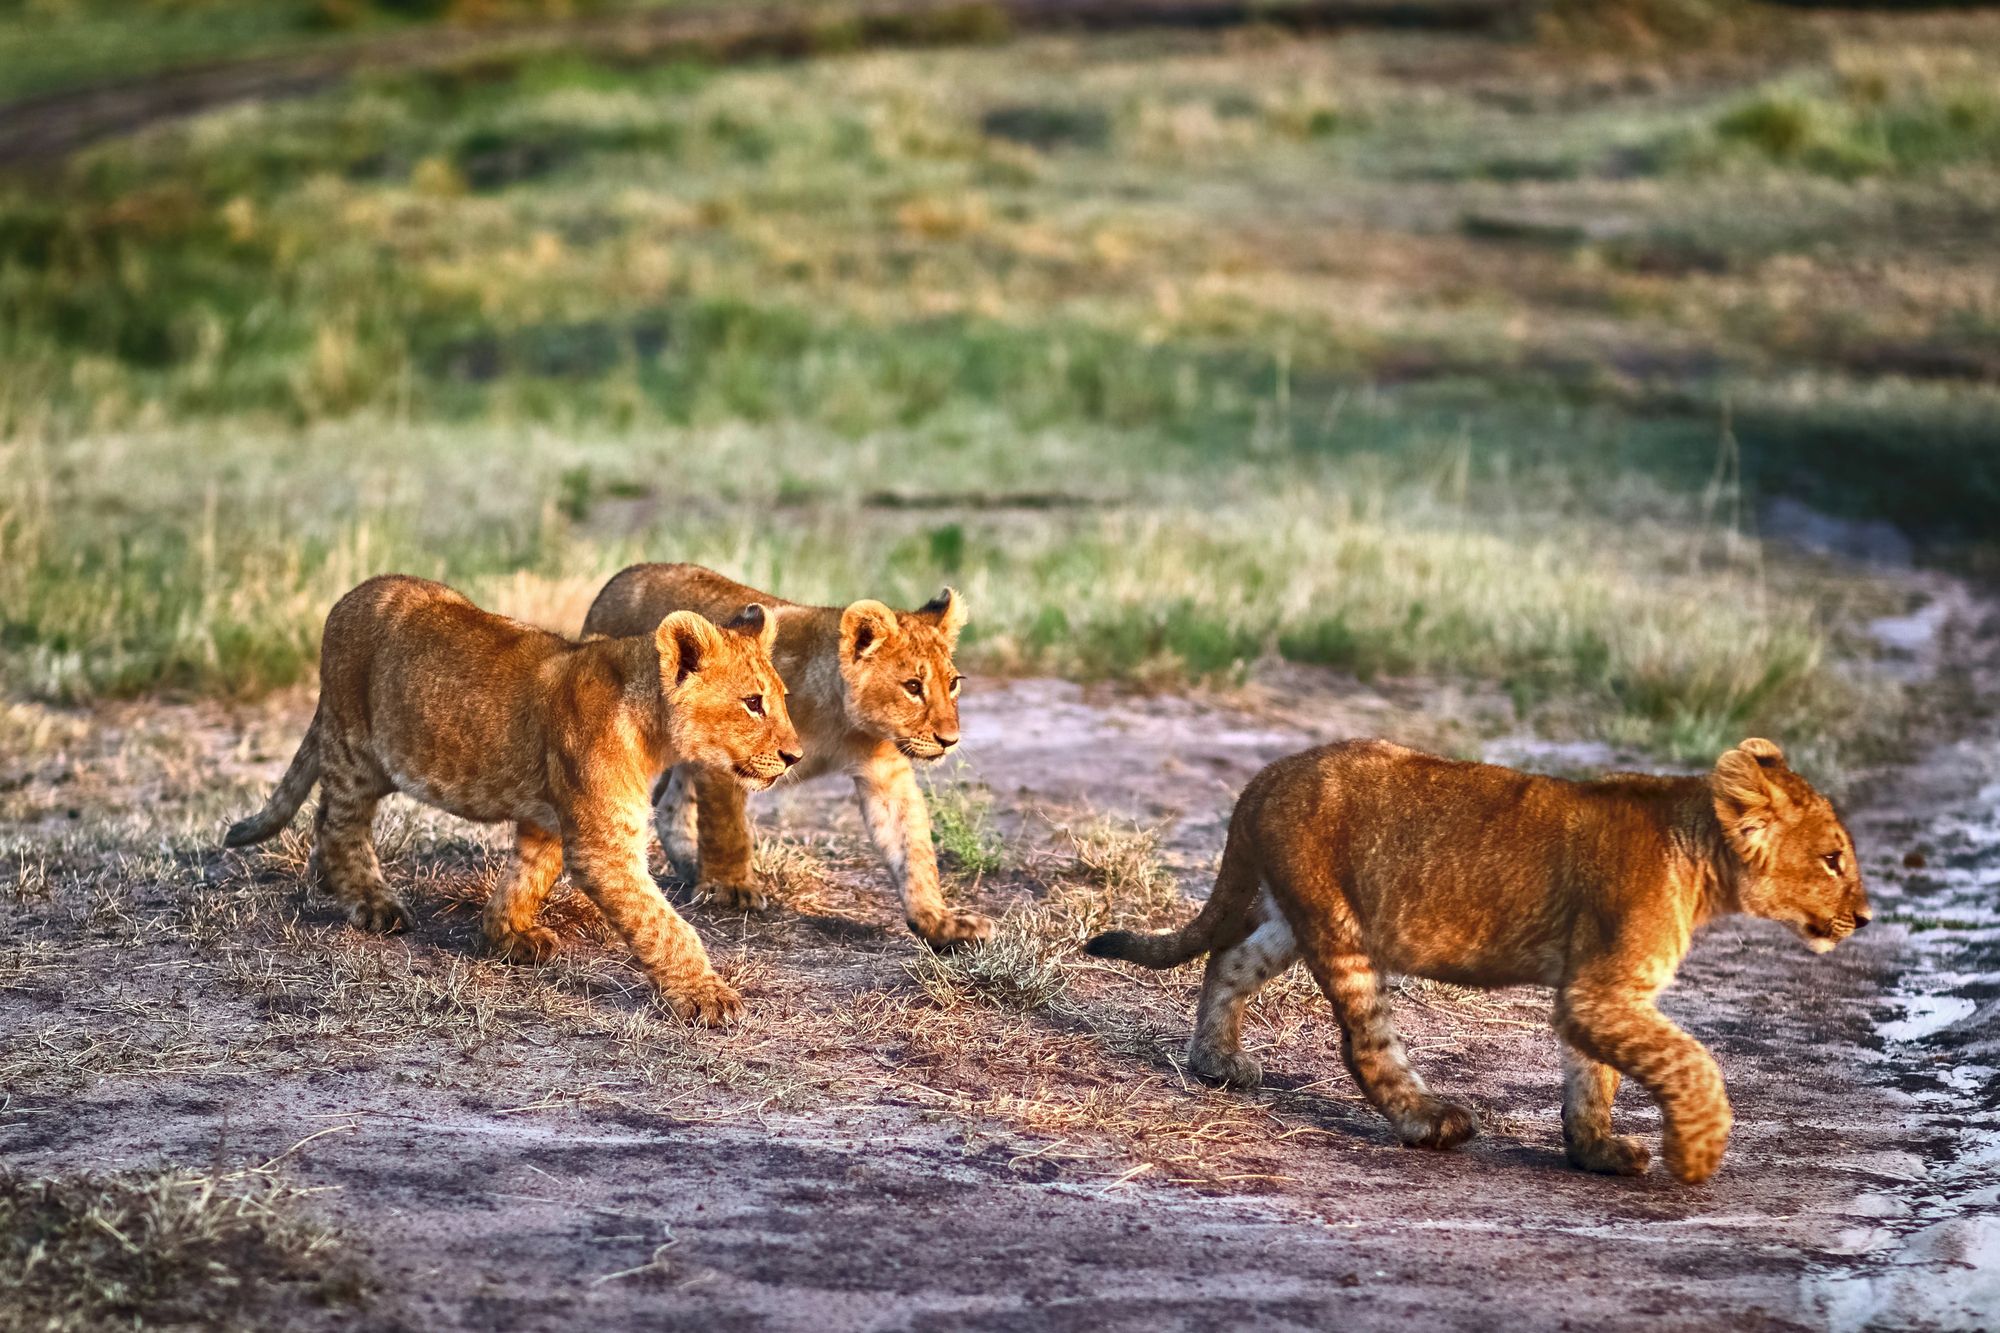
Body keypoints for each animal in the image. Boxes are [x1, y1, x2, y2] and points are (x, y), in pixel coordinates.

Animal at [224, 574, 801, 1025]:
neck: (652, 727)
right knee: (339, 822)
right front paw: (709, 997)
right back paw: (372, 903)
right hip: (355, 748)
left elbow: (527, 876)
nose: (795, 755)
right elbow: (663, 925)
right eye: (753, 703)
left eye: (783, 700)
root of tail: (352, 594)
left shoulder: (549, 821)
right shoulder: (603, 848)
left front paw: (506, 933)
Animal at [582, 563, 991, 948]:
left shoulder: (886, 771)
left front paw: (938, 922)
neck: (840, 720)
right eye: (913, 686)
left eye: (952, 684)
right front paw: (732, 889)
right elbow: (728, 827)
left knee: (670, 802)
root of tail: (622, 576)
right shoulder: (729, 754)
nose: (949, 740)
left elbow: (913, 846)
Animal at [1086, 737, 1869, 1183]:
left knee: (1229, 958)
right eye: (1833, 859)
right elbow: (1691, 1060)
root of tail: (1266, 777)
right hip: (1339, 926)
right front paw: (1696, 1155)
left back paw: (1217, 1063)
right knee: (1366, 1042)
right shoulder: (1602, 989)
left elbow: (1593, 1076)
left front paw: (1597, 1153)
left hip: (1296, 914)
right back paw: (1428, 1121)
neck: (1701, 855)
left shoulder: (1593, 993)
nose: (1863, 917)